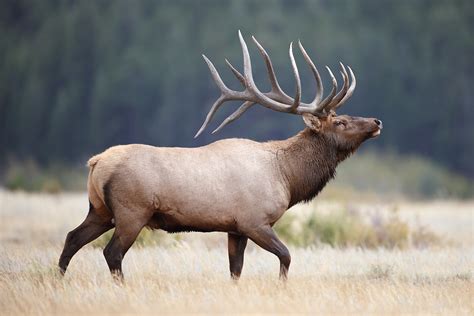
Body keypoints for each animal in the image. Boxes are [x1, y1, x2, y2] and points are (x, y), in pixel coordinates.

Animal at [58, 31, 382, 278]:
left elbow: (235, 270)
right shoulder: (254, 220)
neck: (287, 177)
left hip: (100, 210)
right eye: (340, 122)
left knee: (72, 238)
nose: (377, 122)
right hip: (131, 211)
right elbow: (286, 256)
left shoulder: (235, 228)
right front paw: (282, 286)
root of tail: (96, 162)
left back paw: (59, 281)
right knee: (111, 252)